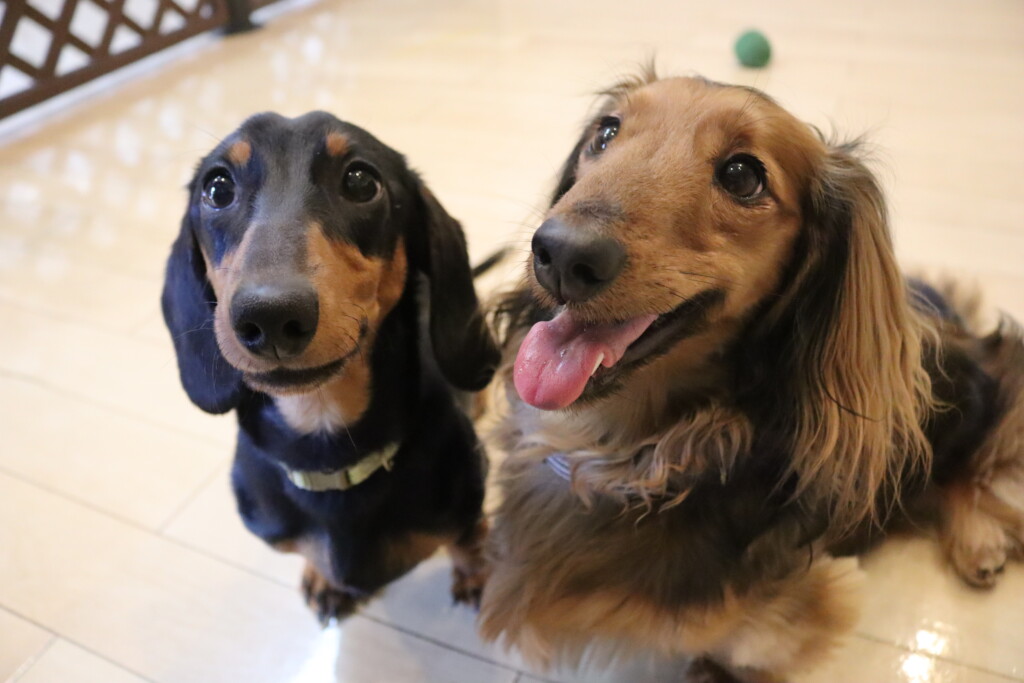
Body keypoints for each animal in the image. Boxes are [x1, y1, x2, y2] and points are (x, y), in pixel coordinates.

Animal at [162, 111, 499, 624]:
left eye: (361, 181)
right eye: (217, 188)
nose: (270, 315)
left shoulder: (465, 506)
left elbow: (468, 541)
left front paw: (479, 575)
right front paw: (324, 578)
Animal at [479, 72, 1024, 680]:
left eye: (742, 175)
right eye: (606, 132)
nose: (560, 255)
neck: (616, 451)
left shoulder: (799, 607)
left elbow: (744, 651)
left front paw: (711, 670)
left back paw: (978, 539)